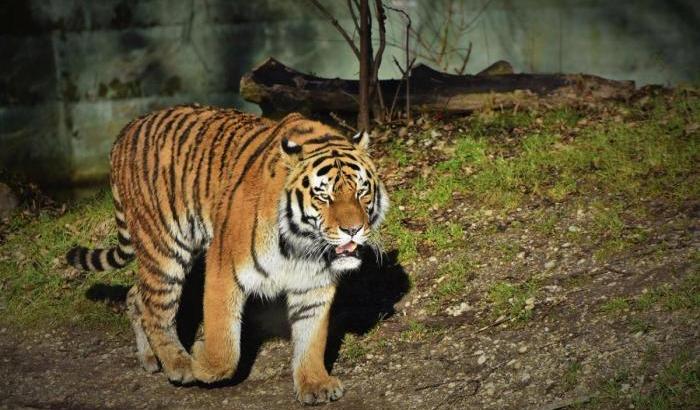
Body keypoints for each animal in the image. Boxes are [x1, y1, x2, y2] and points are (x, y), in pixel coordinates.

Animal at [65, 104, 389, 404]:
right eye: (324, 196)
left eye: (361, 191)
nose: (353, 230)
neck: (301, 244)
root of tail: (128, 129)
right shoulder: (224, 268)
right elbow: (225, 345)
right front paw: (201, 360)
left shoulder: (314, 284)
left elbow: (311, 338)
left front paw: (314, 383)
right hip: (165, 248)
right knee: (157, 310)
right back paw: (179, 364)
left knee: (137, 295)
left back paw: (150, 359)